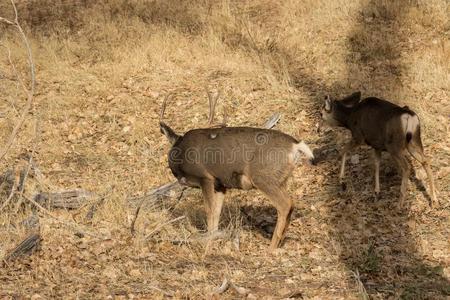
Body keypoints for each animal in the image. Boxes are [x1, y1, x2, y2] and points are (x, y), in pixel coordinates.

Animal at [160, 90, 314, 250]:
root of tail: (295, 145)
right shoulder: (220, 184)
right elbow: (216, 212)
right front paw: (214, 238)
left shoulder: (205, 177)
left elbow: (209, 210)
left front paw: (207, 243)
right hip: (280, 179)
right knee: (290, 205)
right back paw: (279, 243)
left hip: (263, 177)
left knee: (285, 205)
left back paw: (271, 248)